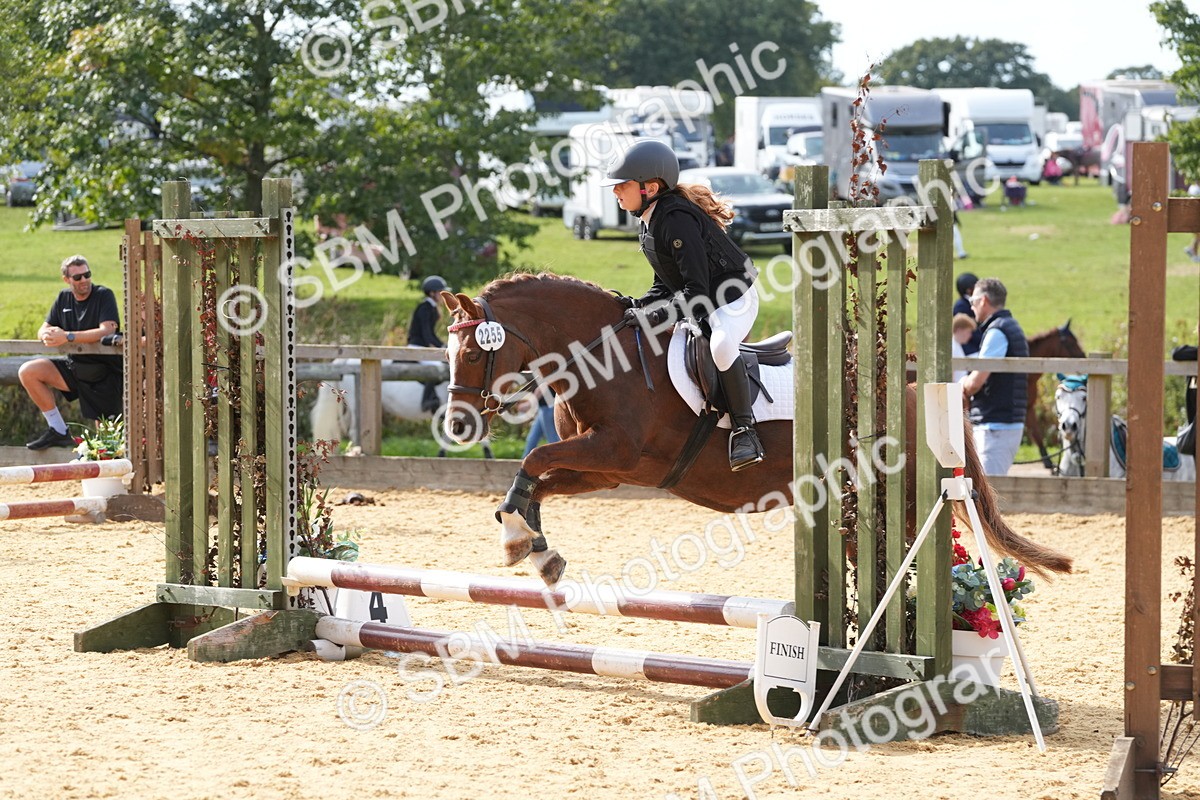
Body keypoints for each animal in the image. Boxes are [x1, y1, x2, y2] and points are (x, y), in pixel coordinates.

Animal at [439, 273, 1072, 586]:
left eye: (472, 352)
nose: (458, 424)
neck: (603, 358)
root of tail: (917, 392)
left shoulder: (613, 450)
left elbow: (534, 460)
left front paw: (517, 538)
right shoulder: (608, 470)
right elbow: (538, 480)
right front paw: (534, 548)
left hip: (897, 497)